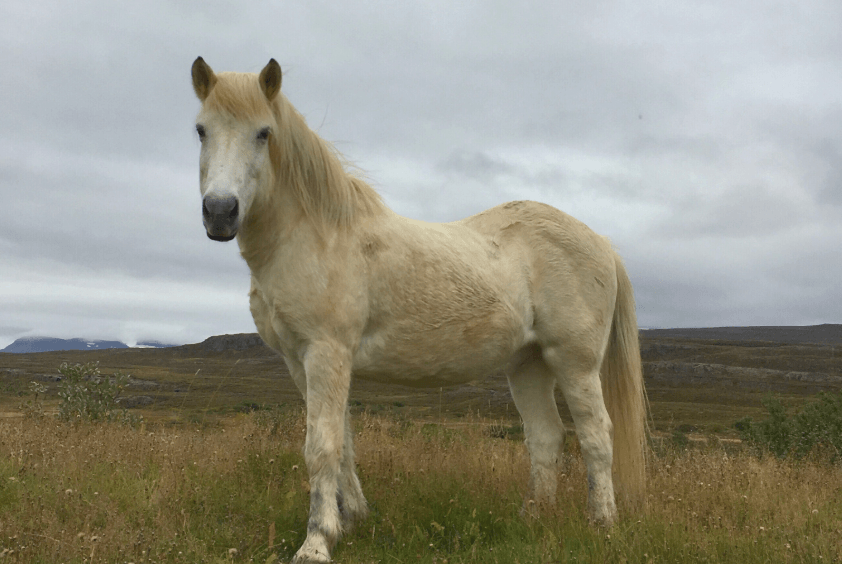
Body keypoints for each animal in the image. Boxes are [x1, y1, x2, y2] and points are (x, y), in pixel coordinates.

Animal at [191, 57, 647, 563]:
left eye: (264, 133)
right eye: (201, 130)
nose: (220, 212)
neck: (316, 236)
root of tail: (602, 242)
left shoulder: (327, 353)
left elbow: (321, 446)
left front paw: (317, 541)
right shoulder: (300, 361)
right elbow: (343, 442)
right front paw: (351, 520)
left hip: (574, 363)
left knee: (596, 435)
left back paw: (602, 523)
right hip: (528, 365)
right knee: (546, 436)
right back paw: (533, 518)